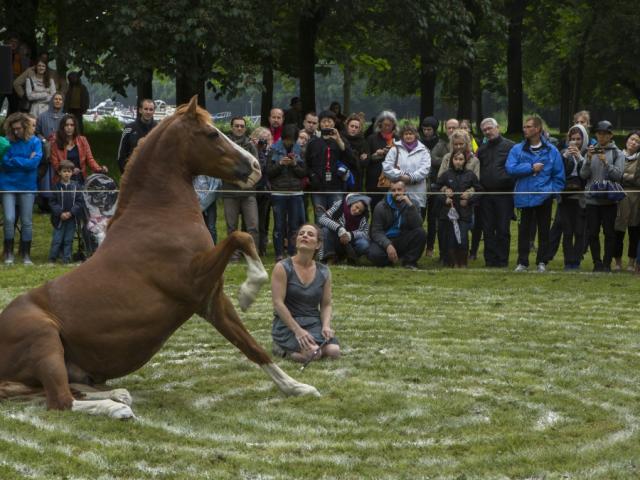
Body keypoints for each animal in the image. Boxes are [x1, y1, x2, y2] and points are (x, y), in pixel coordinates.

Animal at [0, 96, 320, 416]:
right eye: (212, 134)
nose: (254, 166)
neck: (158, 213)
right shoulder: (193, 279)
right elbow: (239, 237)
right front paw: (249, 292)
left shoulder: (210, 301)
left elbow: (252, 346)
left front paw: (297, 387)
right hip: (45, 340)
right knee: (60, 400)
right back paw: (116, 408)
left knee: (64, 389)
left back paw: (118, 394)